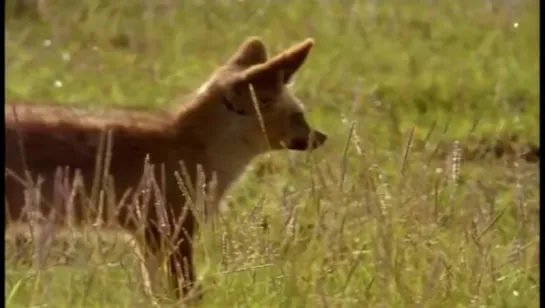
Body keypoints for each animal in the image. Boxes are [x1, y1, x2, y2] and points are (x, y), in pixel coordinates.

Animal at [3, 37, 328, 302]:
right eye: (298, 116)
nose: (322, 137)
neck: (194, 146)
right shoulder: (172, 231)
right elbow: (187, 294)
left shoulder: (148, 235)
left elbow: (160, 294)